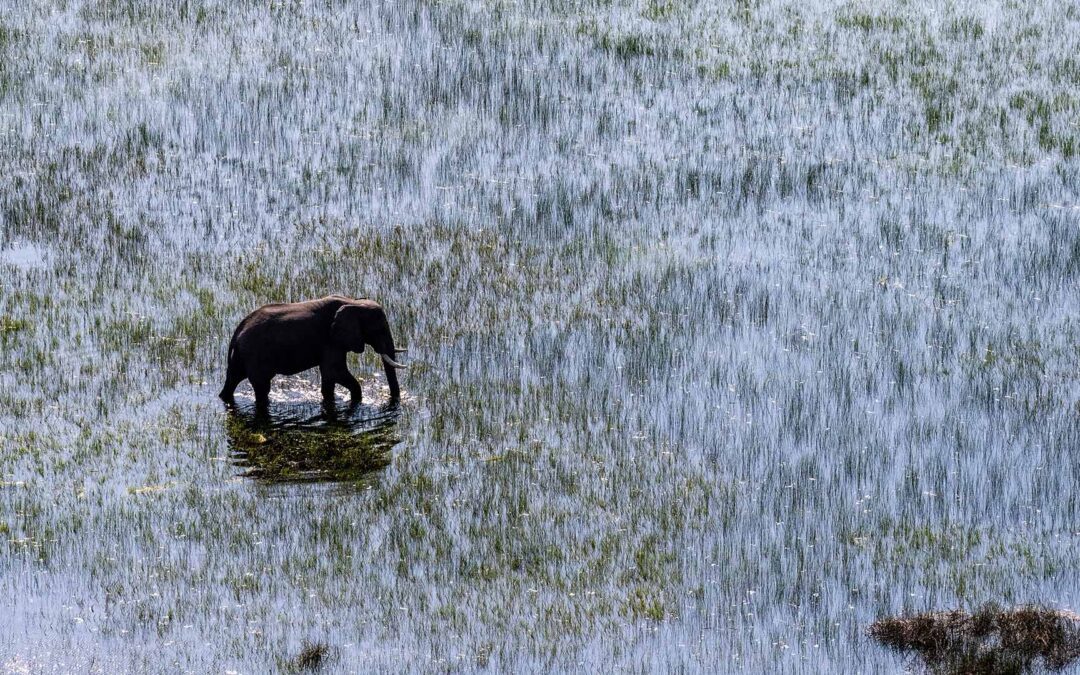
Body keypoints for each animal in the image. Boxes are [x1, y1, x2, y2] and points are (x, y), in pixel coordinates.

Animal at [219, 295, 406, 408]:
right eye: (380, 330)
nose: (393, 402)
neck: (353, 302)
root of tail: (238, 331)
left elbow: (329, 379)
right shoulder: (331, 340)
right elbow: (335, 372)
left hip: (241, 356)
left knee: (232, 380)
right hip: (254, 355)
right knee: (262, 387)